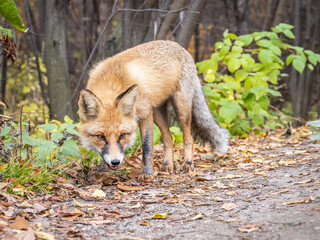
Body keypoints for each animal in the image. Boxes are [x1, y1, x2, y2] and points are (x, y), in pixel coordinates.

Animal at [78, 39, 228, 182]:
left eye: (122, 135)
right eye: (100, 137)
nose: (115, 162)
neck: (111, 82)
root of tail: (179, 46)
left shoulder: (145, 113)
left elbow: (147, 147)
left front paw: (147, 173)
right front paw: (103, 171)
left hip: (181, 108)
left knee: (188, 137)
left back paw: (188, 163)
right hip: (157, 113)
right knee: (169, 139)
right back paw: (168, 165)